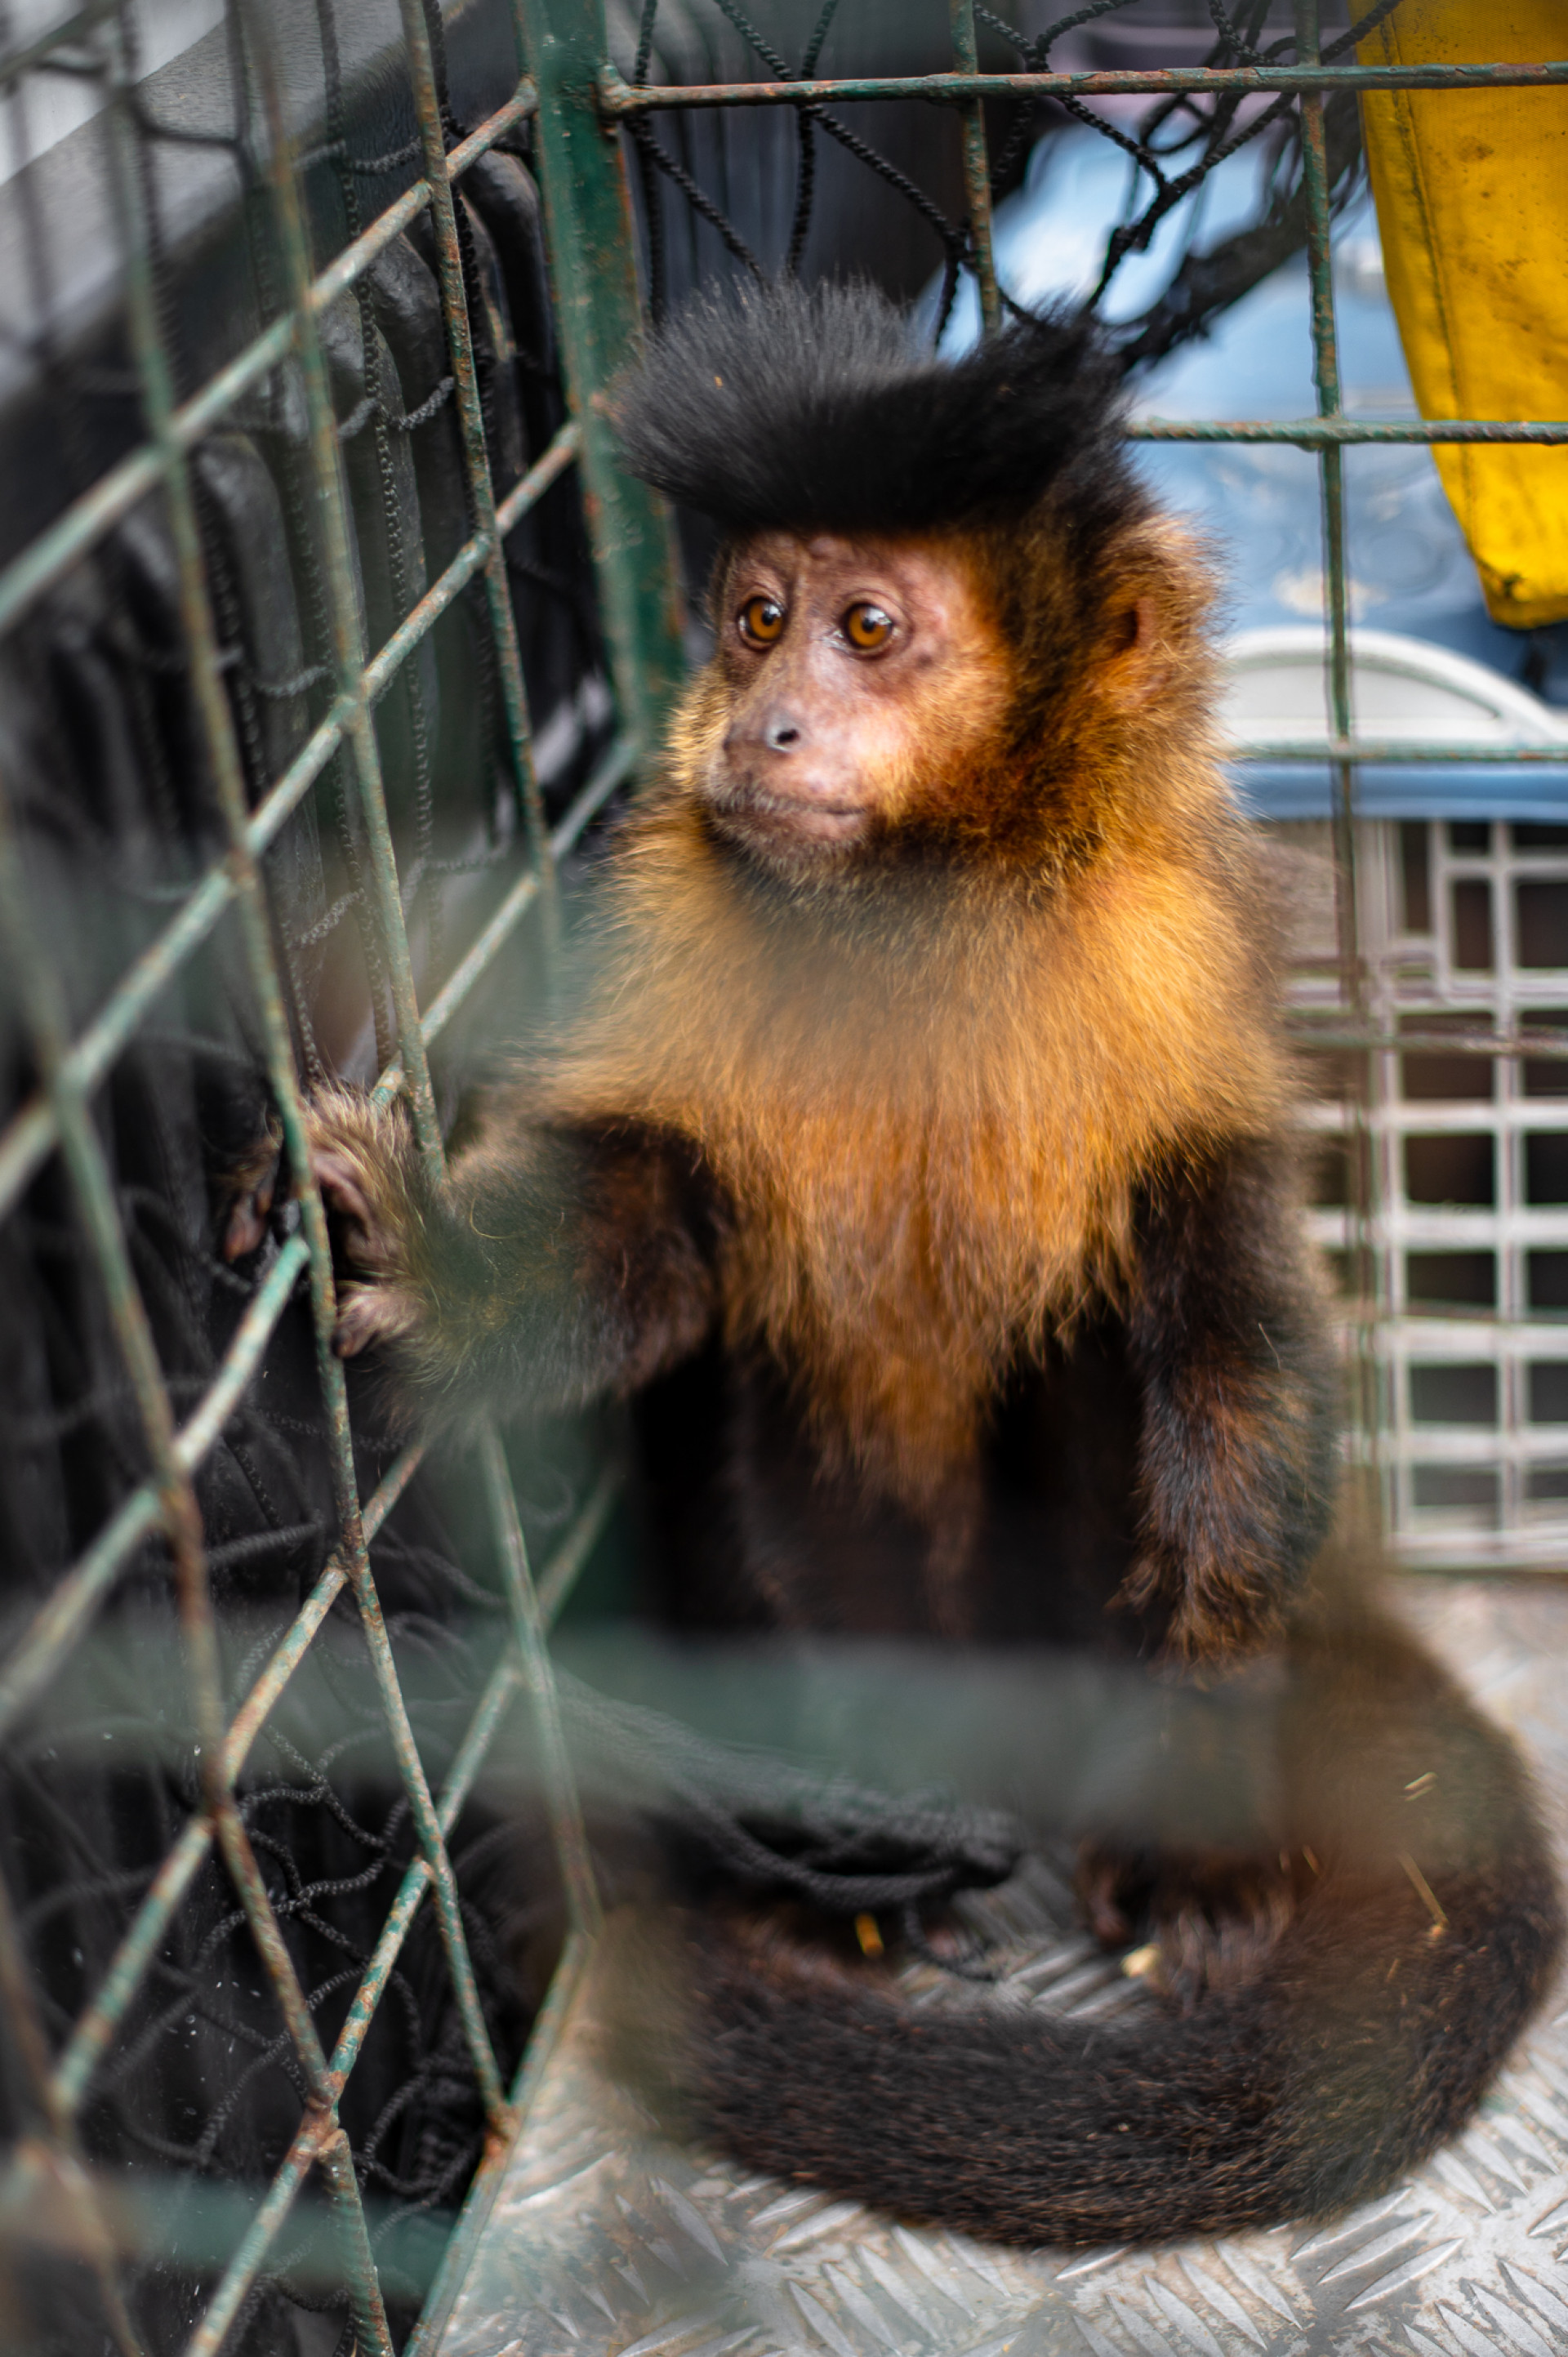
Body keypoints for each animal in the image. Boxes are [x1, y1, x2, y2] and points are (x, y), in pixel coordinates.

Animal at [229, 280, 1562, 2243]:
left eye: (869, 629)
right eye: (756, 621)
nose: (764, 725)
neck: (926, 902)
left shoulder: (1176, 950)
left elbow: (1226, 1291)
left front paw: (1206, 1688)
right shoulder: (675, 914)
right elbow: (651, 1240)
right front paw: (413, 1249)